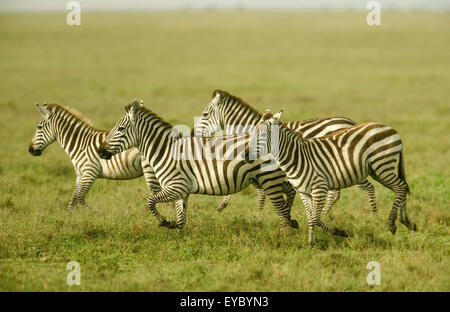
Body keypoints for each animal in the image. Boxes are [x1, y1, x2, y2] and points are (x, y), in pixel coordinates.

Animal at [28, 103, 162, 210]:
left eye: (39, 127)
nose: (30, 150)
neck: (80, 144)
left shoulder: (89, 172)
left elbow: (80, 198)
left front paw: (94, 214)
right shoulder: (80, 174)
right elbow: (73, 198)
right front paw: (68, 218)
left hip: (150, 169)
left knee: (155, 193)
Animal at [96, 99, 298, 229]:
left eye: (121, 129)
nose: (99, 150)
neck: (165, 150)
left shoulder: (176, 186)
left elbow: (150, 202)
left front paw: (164, 223)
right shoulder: (182, 191)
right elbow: (181, 219)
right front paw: (180, 241)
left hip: (268, 179)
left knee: (282, 207)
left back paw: (284, 234)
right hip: (263, 179)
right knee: (289, 192)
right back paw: (292, 222)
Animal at [193, 89, 376, 213]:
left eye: (204, 114)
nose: (194, 134)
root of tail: (351, 122)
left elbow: (260, 192)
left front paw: (259, 214)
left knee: (366, 188)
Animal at [244, 109, 416, 246]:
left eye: (263, 135)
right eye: (251, 134)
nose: (245, 155)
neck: (297, 157)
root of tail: (388, 127)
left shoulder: (319, 188)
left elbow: (315, 218)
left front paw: (339, 232)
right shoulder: (304, 192)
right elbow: (310, 217)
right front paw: (311, 243)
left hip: (382, 165)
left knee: (400, 187)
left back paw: (392, 223)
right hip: (377, 170)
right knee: (401, 187)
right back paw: (407, 222)